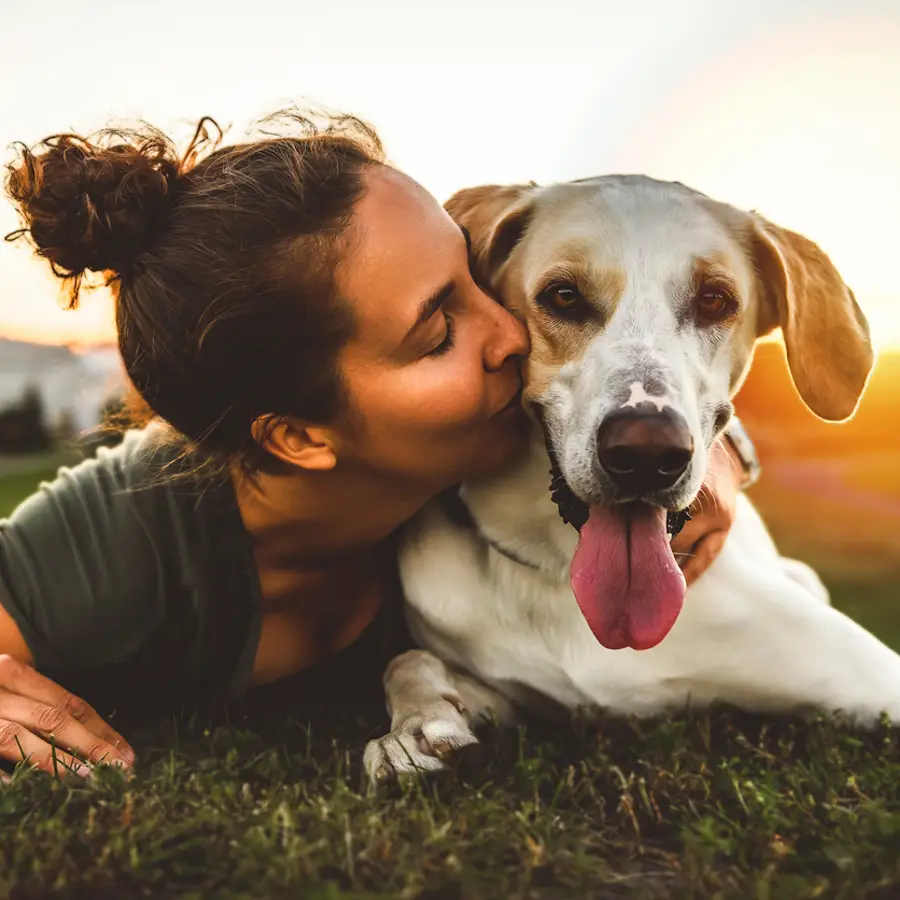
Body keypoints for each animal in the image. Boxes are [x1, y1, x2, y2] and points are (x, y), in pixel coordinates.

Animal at [364, 174, 900, 780]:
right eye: (563, 295)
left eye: (714, 299)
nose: (647, 452)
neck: (560, 571)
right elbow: (408, 660)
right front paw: (414, 730)